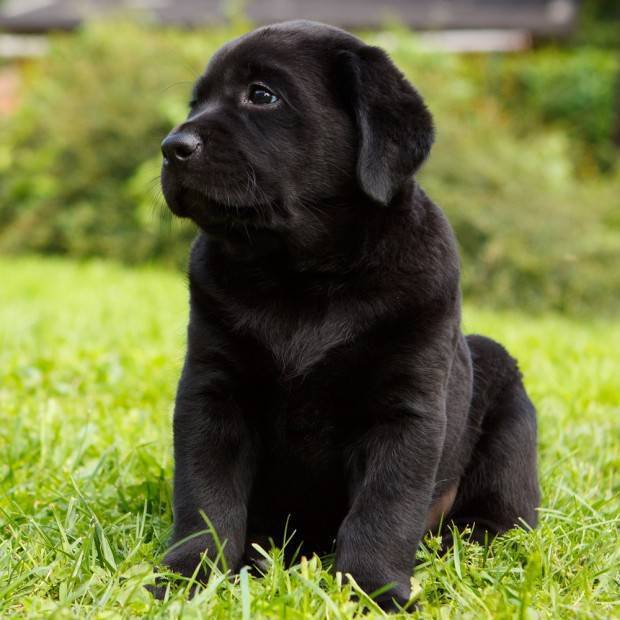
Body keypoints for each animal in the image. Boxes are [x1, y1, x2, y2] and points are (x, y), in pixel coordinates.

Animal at [157, 20, 540, 612]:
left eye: (262, 95)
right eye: (195, 102)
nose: (172, 147)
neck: (303, 276)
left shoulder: (404, 411)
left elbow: (384, 510)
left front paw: (374, 590)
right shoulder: (211, 391)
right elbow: (205, 496)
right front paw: (189, 575)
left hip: (504, 399)